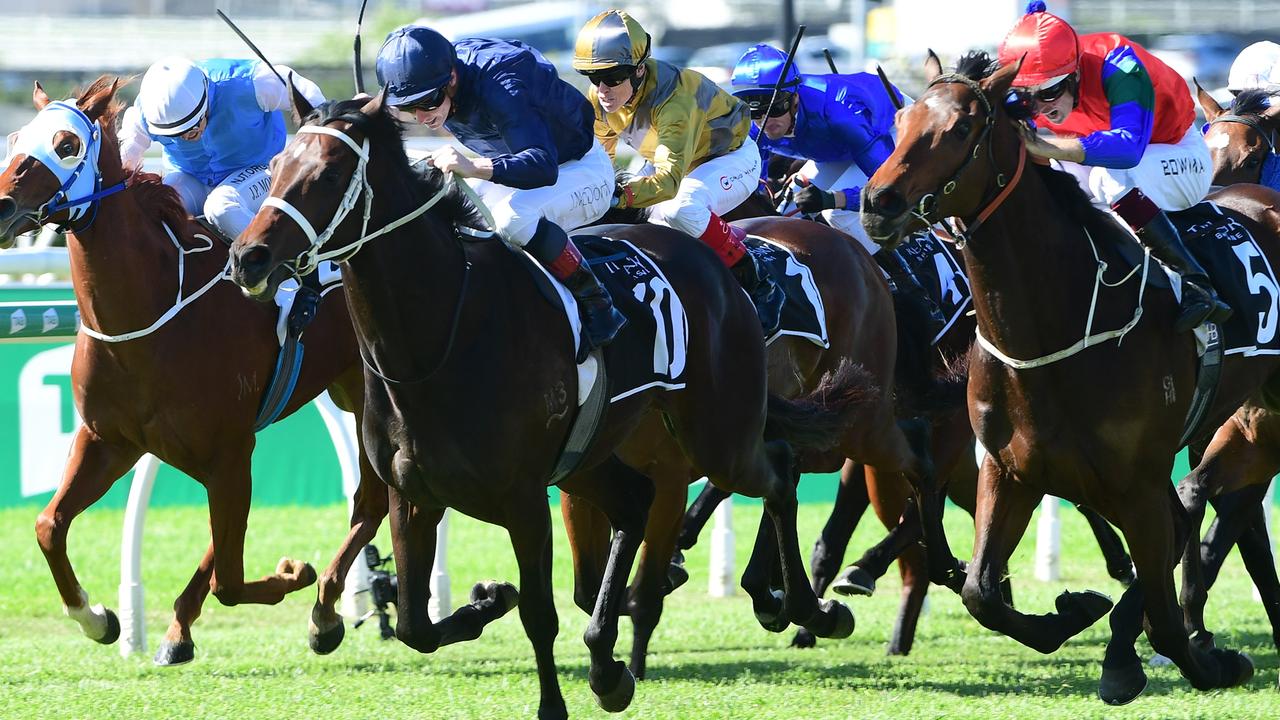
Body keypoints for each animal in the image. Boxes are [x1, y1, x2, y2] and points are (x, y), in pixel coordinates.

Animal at [0, 77, 384, 661]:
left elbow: (230, 578)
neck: (148, 316)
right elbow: (49, 525)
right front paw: (97, 618)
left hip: (368, 398)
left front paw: (294, 573)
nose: (0, 207)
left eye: (67, 144)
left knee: (371, 498)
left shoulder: (229, 451)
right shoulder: (109, 440)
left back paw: (325, 613)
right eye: (17, 137)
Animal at [229, 90, 855, 717]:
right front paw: (487, 601)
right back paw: (610, 666)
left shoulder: (524, 497)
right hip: (593, 458)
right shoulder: (412, 493)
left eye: (330, 173)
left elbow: (537, 614)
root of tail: (727, 270)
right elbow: (414, 625)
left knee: (778, 471)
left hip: (717, 433)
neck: (440, 337)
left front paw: (548, 696)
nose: (247, 257)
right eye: (276, 166)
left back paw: (809, 609)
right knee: (638, 503)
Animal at [860, 53, 1269, 702]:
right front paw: (1072, 613)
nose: (879, 203)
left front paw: (1202, 661)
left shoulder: (1139, 485)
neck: (1055, 328)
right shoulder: (1010, 471)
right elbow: (980, 593)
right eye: (899, 120)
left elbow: (1166, 613)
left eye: (960, 129)